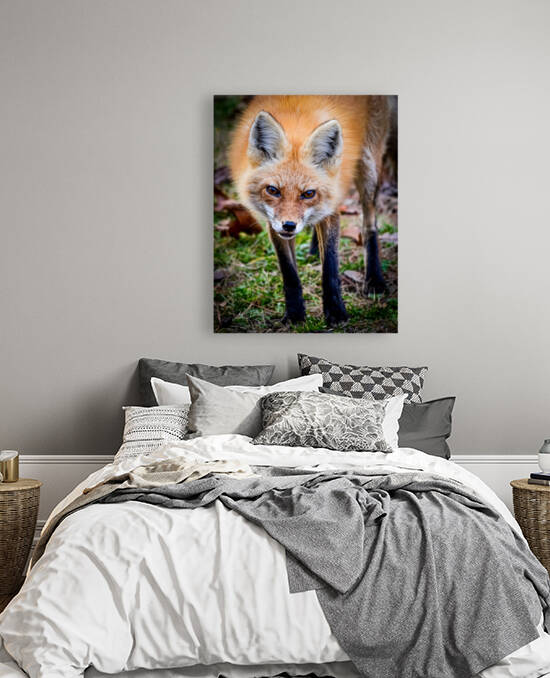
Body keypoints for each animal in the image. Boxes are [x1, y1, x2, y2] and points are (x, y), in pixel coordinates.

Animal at [229, 95, 396, 326]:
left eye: (308, 193)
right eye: (273, 190)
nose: (289, 225)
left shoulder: (331, 208)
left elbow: (330, 268)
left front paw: (336, 312)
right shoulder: (273, 222)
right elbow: (289, 272)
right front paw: (295, 314)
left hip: (369, 168)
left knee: (370, 224)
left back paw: (374, 279)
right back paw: (315, 250)